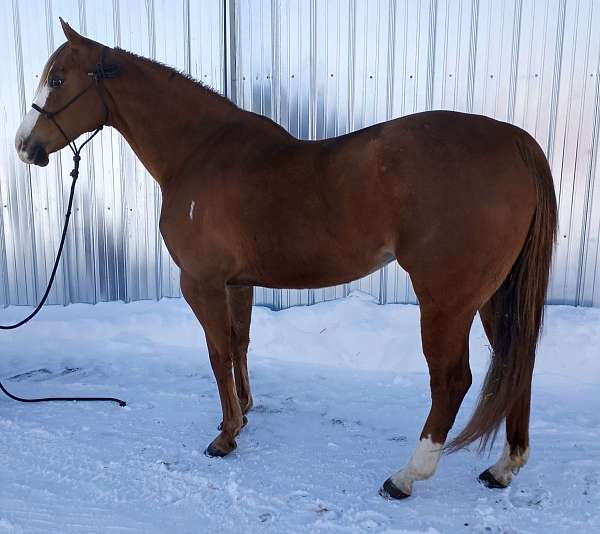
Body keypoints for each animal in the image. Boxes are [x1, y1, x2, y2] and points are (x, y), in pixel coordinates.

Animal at [15, 18, 556, 500]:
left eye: (58, 79)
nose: (24, 146)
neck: (198, 152)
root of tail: (515, 140)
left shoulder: (201, 283)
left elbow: (216, 352)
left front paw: (225, 436)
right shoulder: (238, 283)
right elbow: (239, 344)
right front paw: (243, 413)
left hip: (447, 301)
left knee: (452, 381)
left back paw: (406, 476)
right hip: (496, 295)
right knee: (518, 362)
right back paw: (504, 467)